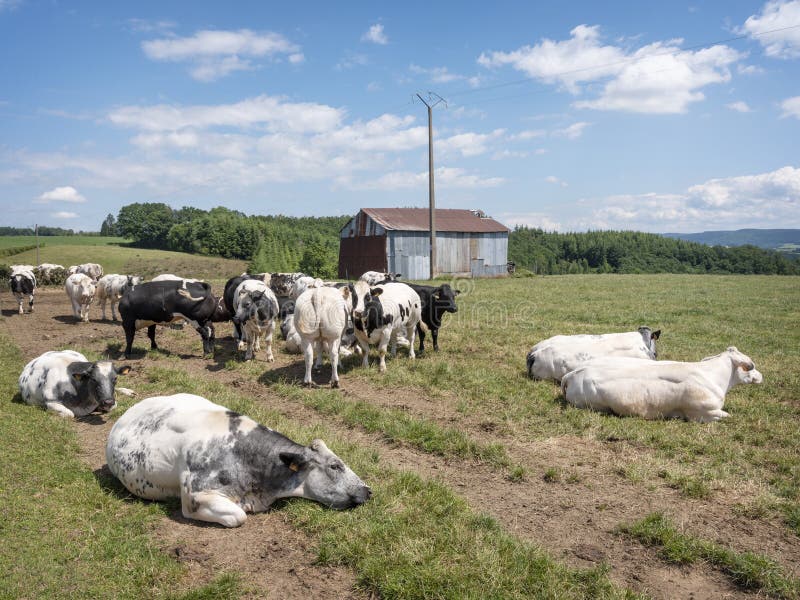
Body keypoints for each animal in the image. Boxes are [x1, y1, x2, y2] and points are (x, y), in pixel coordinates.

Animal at [560, 346, 764, 422]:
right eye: (751, 366)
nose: (761, 376)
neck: (712, 376)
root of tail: (572, 373)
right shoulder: (703, 414)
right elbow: (729, 416)